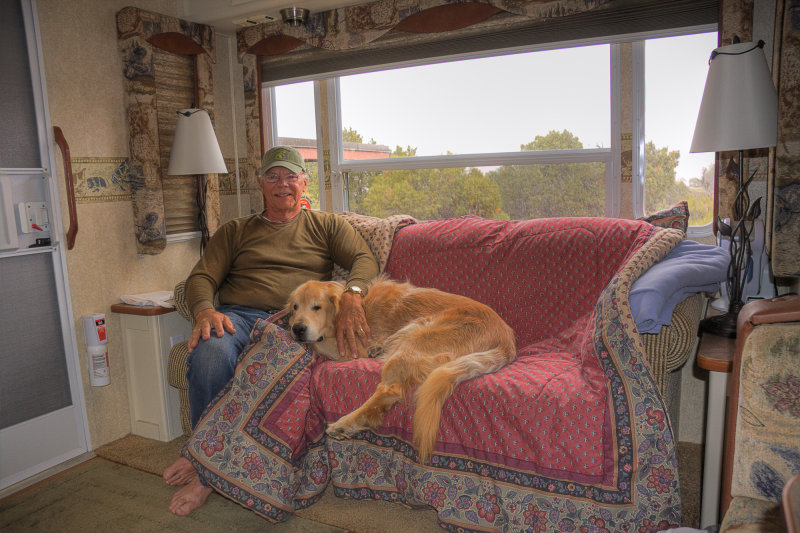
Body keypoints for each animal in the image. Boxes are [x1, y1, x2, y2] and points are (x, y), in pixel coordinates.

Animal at [288, 278, 520, 462]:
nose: (297, 329)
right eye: (295, 307)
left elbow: (319, 344)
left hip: (415, 335)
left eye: (316, 307)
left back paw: (344, 423)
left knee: (389, 390)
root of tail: (506, 339)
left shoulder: (351, 348)